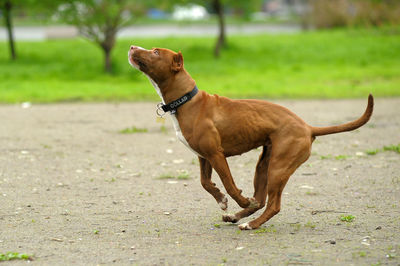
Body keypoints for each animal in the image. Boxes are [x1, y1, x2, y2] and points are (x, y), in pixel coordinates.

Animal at [129, 44, 376, 230]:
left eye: (156, 52)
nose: (132, 46)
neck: (187, 100)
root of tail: (308, 127)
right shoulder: (204, 156)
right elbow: (205, 182)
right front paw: (222, 201)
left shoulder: (216, 154)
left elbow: (229, 184)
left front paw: (238, 198)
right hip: (264, 165)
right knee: (262, 200)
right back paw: (238, 216)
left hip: (279, 167)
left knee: (273, 204)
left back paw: (251, 224)